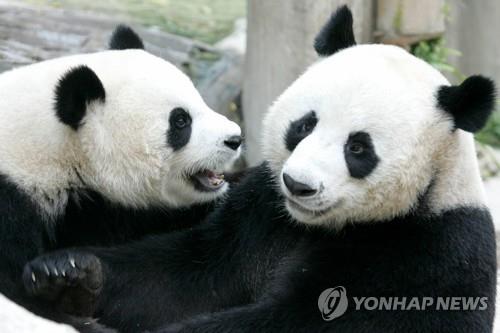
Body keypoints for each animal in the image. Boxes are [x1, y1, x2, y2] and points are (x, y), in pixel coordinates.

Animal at [26, 5, 496, 332]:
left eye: (359, 148)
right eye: (304, 124)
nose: (299, 185)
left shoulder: (422, 254)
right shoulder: (259, 214)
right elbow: (182, 277)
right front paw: (67, 273)